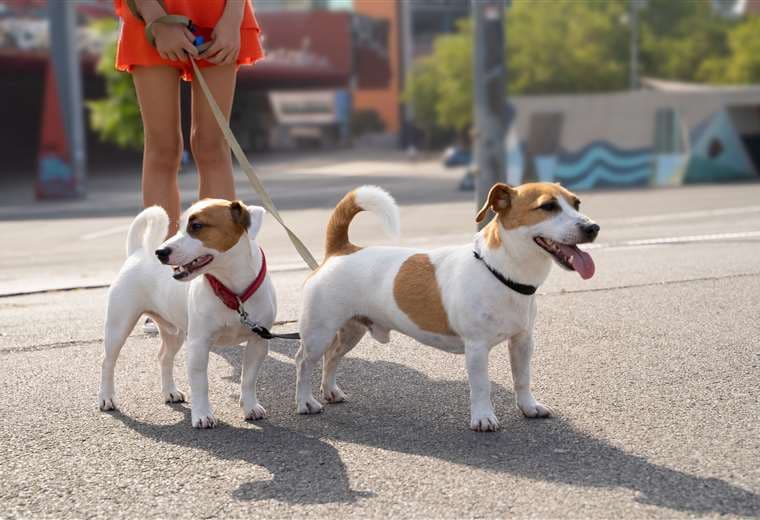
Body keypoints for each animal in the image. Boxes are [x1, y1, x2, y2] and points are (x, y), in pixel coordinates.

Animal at [96, 197, 276, 428]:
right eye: (179, 226)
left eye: (197, 226)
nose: (160, 252)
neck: (232, 291)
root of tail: (138, 252)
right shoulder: (198, 344)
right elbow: (200, 384)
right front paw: (202, 415)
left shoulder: (258, 342)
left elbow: (249, 379)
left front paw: (251, 407)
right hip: (118, 327)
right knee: (107, 362)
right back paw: (106, 397)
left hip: (174, 333)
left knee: (164, 357)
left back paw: (170, 392)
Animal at [296, 182, 600, 430]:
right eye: (547, 206)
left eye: (577, 203)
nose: (593, 228)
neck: (501, 272)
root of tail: (341, 249)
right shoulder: (476, 347)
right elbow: (481, 386)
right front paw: (483, 418)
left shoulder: (523, 341)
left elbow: (522, 378)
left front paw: (528, 407)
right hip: (318, 332)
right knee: (304, 362)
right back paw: (306, 402)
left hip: (351, 331)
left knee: (332, 357)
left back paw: (331, 392)